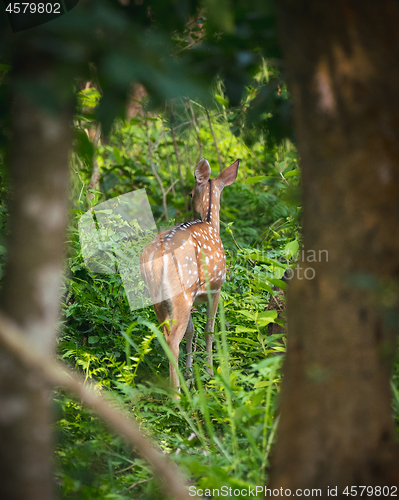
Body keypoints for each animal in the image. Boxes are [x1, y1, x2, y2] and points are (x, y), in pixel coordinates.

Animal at [141, 158, 241, 388]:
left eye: (189, 193)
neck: (210, 222)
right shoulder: (216, 288)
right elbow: (209, 330)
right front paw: (210, 372)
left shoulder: (195, 299)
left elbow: (191, 331)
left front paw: (189, 372)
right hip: (181, 294)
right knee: (172, 339)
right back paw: (177, 391)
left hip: (159, 297)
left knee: (166, 335)